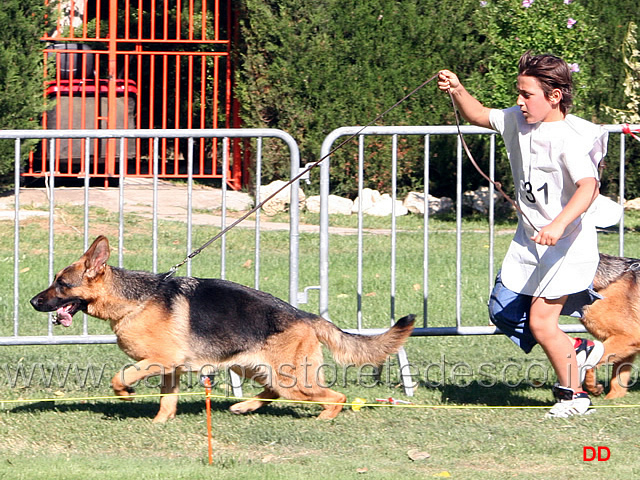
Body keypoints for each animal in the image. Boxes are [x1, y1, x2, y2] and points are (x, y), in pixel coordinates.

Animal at [30, 235, 416, 420]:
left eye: (61, 284)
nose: (33, 302)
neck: (134, 300)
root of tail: (307, 316)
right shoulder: (171, 370)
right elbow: (167, 401)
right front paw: (159, 424)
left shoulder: (158, 361)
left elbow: (120, 375)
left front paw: (126, 394)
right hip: (257, 368)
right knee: (273, 392)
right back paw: (244, 407)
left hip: (293, 379)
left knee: (335, 396)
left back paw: (324, 418)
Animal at [584, 253, 640, 400]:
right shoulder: (625, 344)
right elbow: (618, 378)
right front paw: (612, 398)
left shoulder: (628, 337)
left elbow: (589, 363)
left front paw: (593, 387)